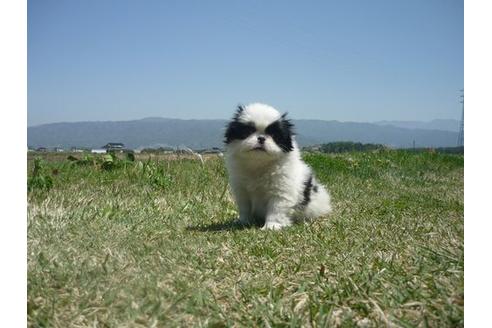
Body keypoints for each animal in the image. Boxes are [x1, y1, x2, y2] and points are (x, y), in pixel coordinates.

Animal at [225, 103, 332, 231]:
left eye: (274, 135)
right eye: (248, 131)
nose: (261, 138)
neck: (259, 165)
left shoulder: (281, 192)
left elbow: (276, 209)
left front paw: (272, 226)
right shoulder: (242, 191)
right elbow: (245, 208)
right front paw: (244, 222)